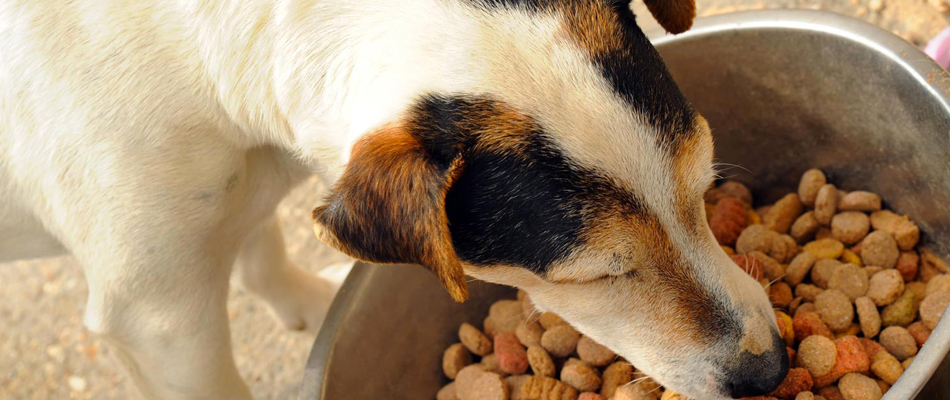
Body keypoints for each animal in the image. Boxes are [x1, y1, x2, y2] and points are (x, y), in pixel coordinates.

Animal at [0, 0, 788, 398]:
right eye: (596, 276)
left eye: (704, 188)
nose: (772, 371)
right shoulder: (157, 320)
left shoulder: (224, 193)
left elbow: (257, 249)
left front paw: (303, 302)